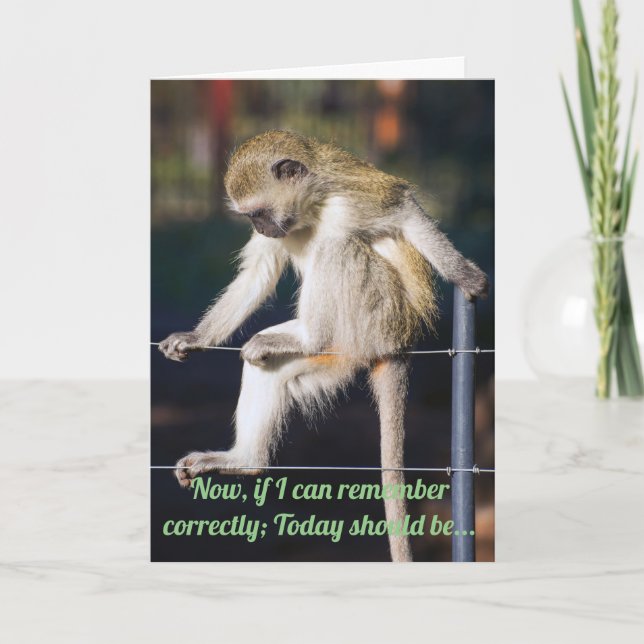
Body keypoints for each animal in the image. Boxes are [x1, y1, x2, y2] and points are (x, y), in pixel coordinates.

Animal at [158, 130, 488, 562]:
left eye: (257, 212)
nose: (261, 228)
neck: (312, 206)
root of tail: (400, 341)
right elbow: (257, 274)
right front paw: (196, 338)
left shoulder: (351, 199)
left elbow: (404, 210)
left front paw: (465, 274)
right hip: (342, 354)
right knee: (268, 368)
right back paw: (244, 460)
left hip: (378, 318)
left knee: (337, 247)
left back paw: (307, 334)